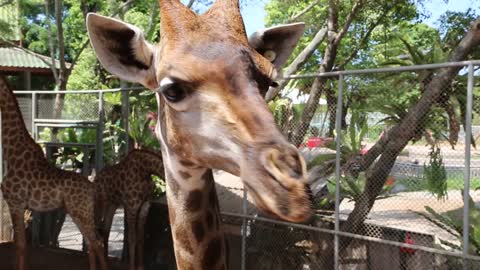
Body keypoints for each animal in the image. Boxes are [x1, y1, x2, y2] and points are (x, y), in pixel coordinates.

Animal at [0, 75, 109, 270]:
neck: (12, 154)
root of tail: (92, 188)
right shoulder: (18, 204)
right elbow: (19, 245)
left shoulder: (15, 202)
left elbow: (20, 245)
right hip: (79, 212)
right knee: (92, 243)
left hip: (81, 211)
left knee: (96, 241)